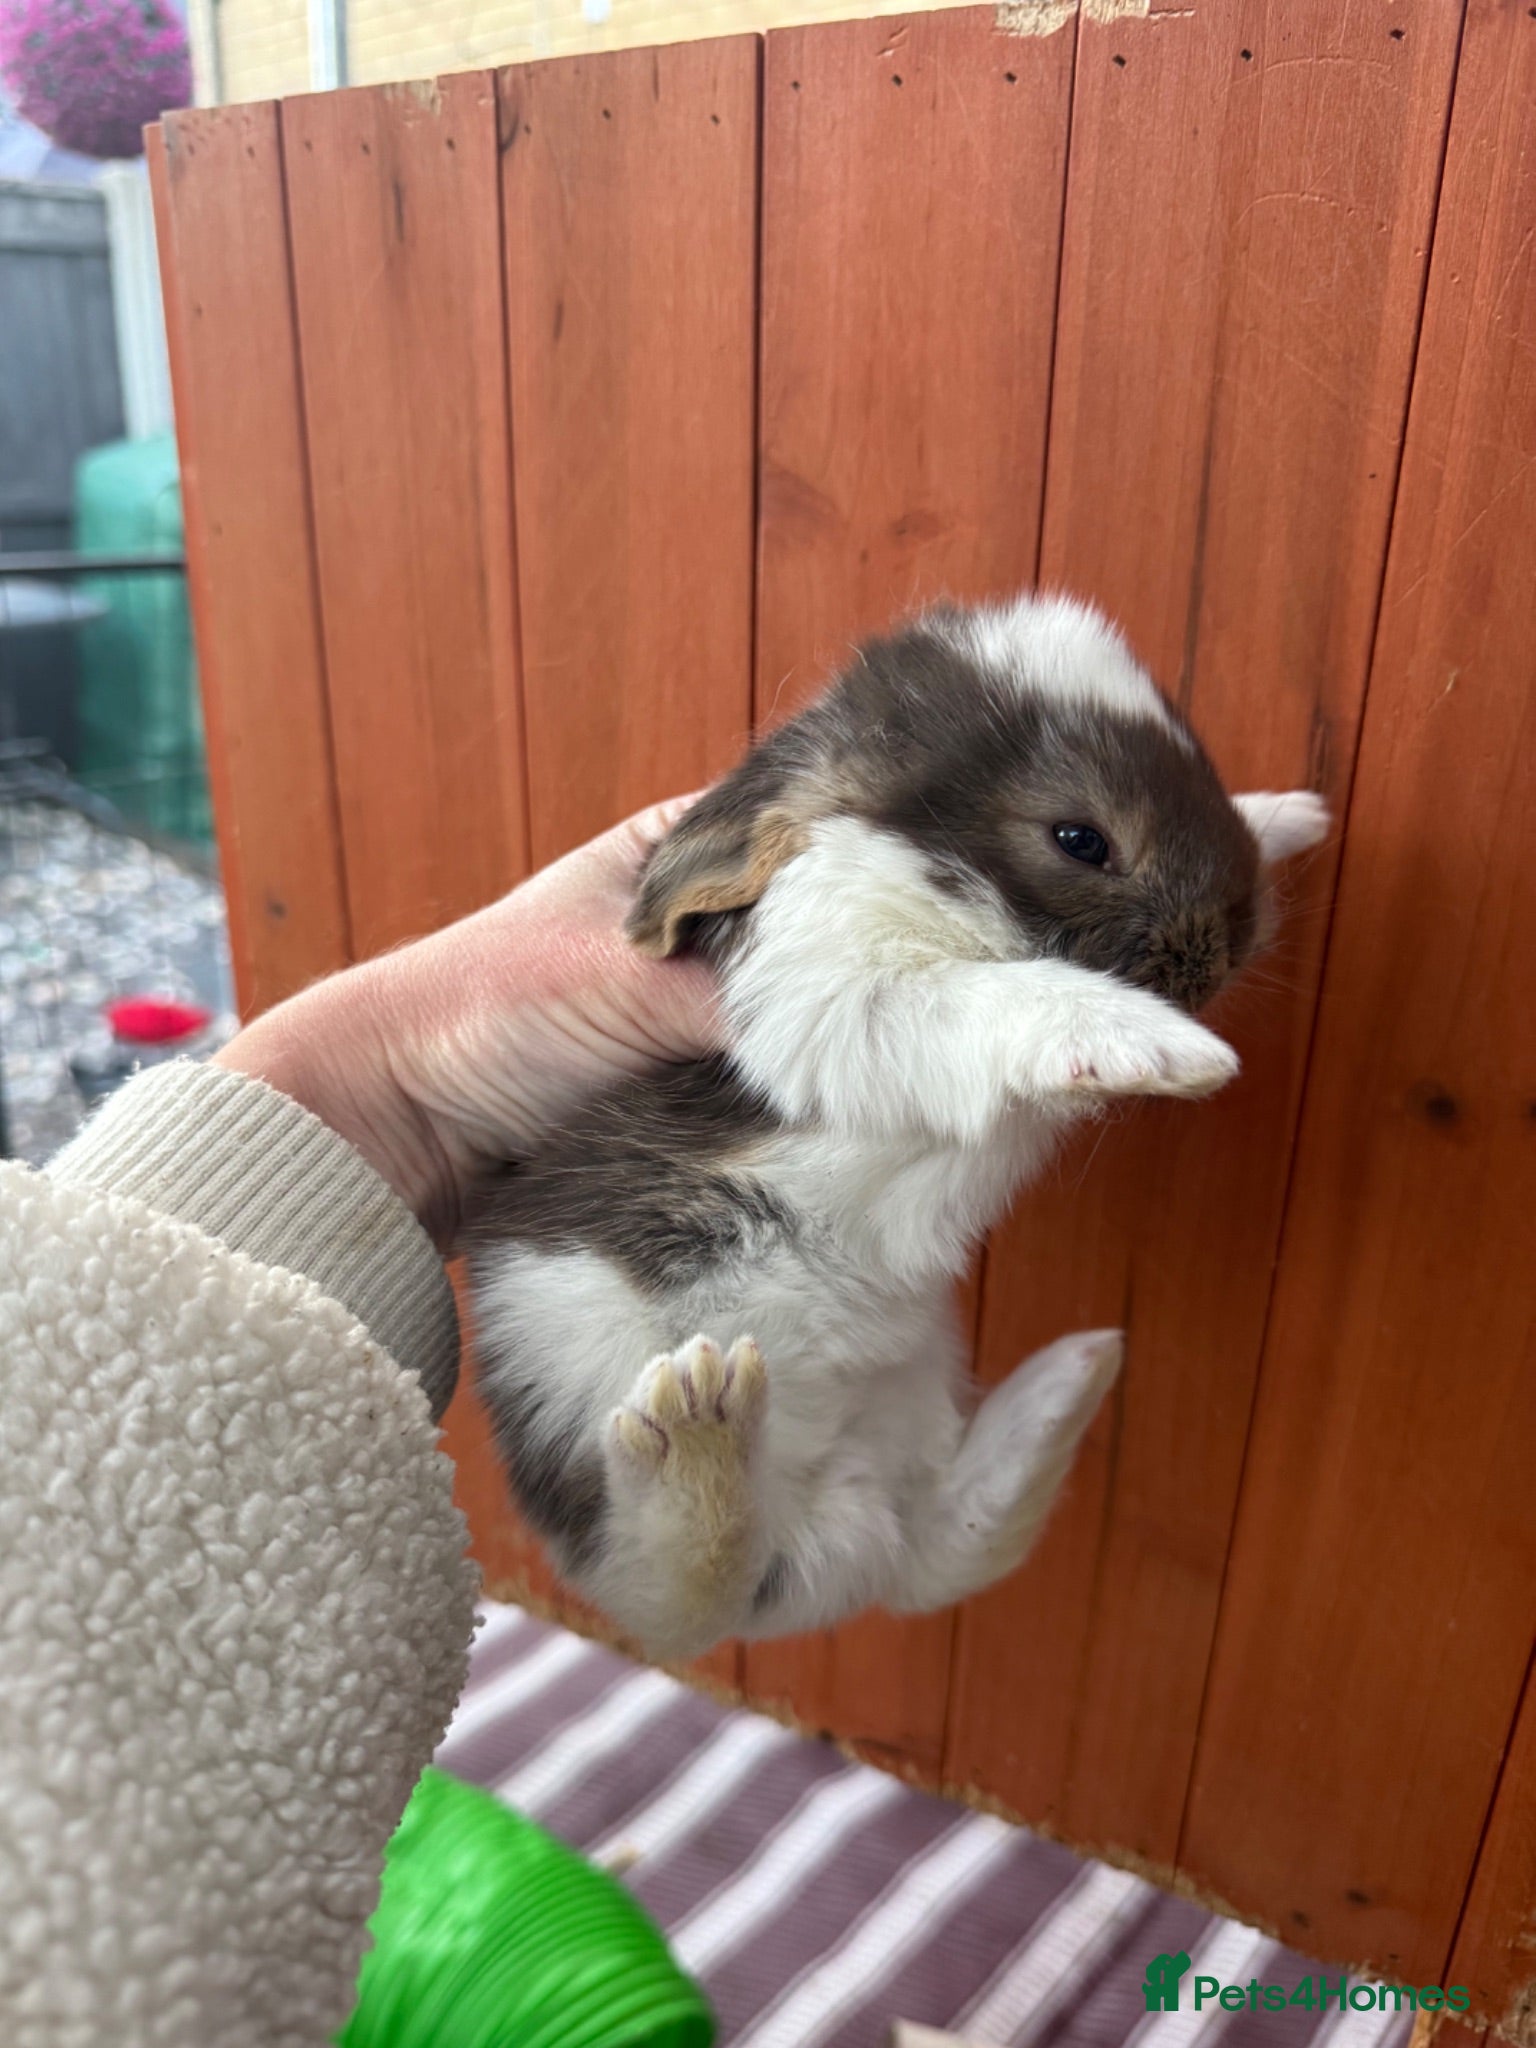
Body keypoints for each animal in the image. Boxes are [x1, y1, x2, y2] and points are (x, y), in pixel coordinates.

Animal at [466, 593, 1329, 1660]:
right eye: (1081, 839)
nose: (1231, 939)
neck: (925, 882)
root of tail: (836, 1527)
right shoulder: (837, 998)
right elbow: (1003, 997)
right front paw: (1160, 1047)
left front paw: (1292, 812)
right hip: (569, 1363)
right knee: (675, 1586)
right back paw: (701, 1432)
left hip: (909, 1400)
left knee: (937, 1532)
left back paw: (1074, 1377)